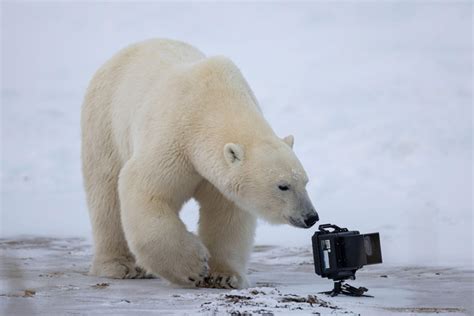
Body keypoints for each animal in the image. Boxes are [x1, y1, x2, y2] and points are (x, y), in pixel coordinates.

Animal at [81, 39, 318, 288]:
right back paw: (119, 265)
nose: (311, 216)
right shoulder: (173, 140)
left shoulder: (216, 178)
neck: (210, 104)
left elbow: (226, 215)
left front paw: (224, 276)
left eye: (305, 181)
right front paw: (193, 266)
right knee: (106, 194)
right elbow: (146, 190)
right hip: (105, 123)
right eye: (283, 186)